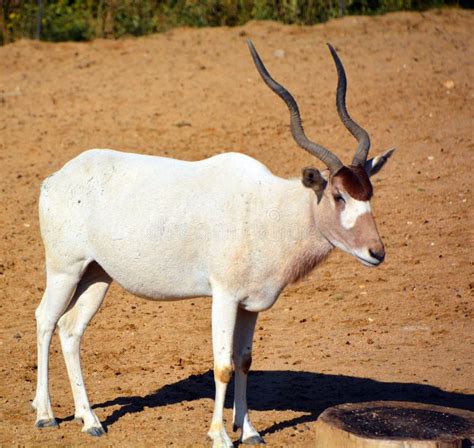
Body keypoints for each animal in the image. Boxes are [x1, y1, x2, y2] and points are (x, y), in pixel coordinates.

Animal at [33, 40, 394, 446]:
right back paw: (46, 415)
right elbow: (222, 365)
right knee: (45, 319)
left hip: (96, 275)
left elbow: (244, 361)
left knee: (70, 329)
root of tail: (54, 179)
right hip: (64, 269)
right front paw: (219, 434)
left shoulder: (251, 305)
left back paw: (90, 419)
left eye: (369, 192)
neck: (266, 209)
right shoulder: (224, 296)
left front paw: (249, 430)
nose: (376, 252)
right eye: (337, 195)